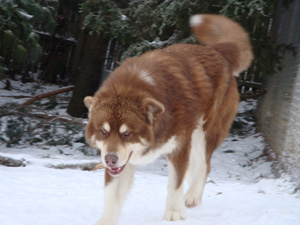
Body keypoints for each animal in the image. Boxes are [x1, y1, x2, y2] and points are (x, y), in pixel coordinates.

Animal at [84, 14, 253, 225]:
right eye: (103, 131)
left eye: (127, 133)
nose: (110, 159)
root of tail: (217, 50)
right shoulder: (120, 162)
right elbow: (112, 194)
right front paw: (106, 220)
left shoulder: (179, 147)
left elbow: (175, 184)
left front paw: (174, 212)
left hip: (202, 136)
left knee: (204, 166)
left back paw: (192, 196)